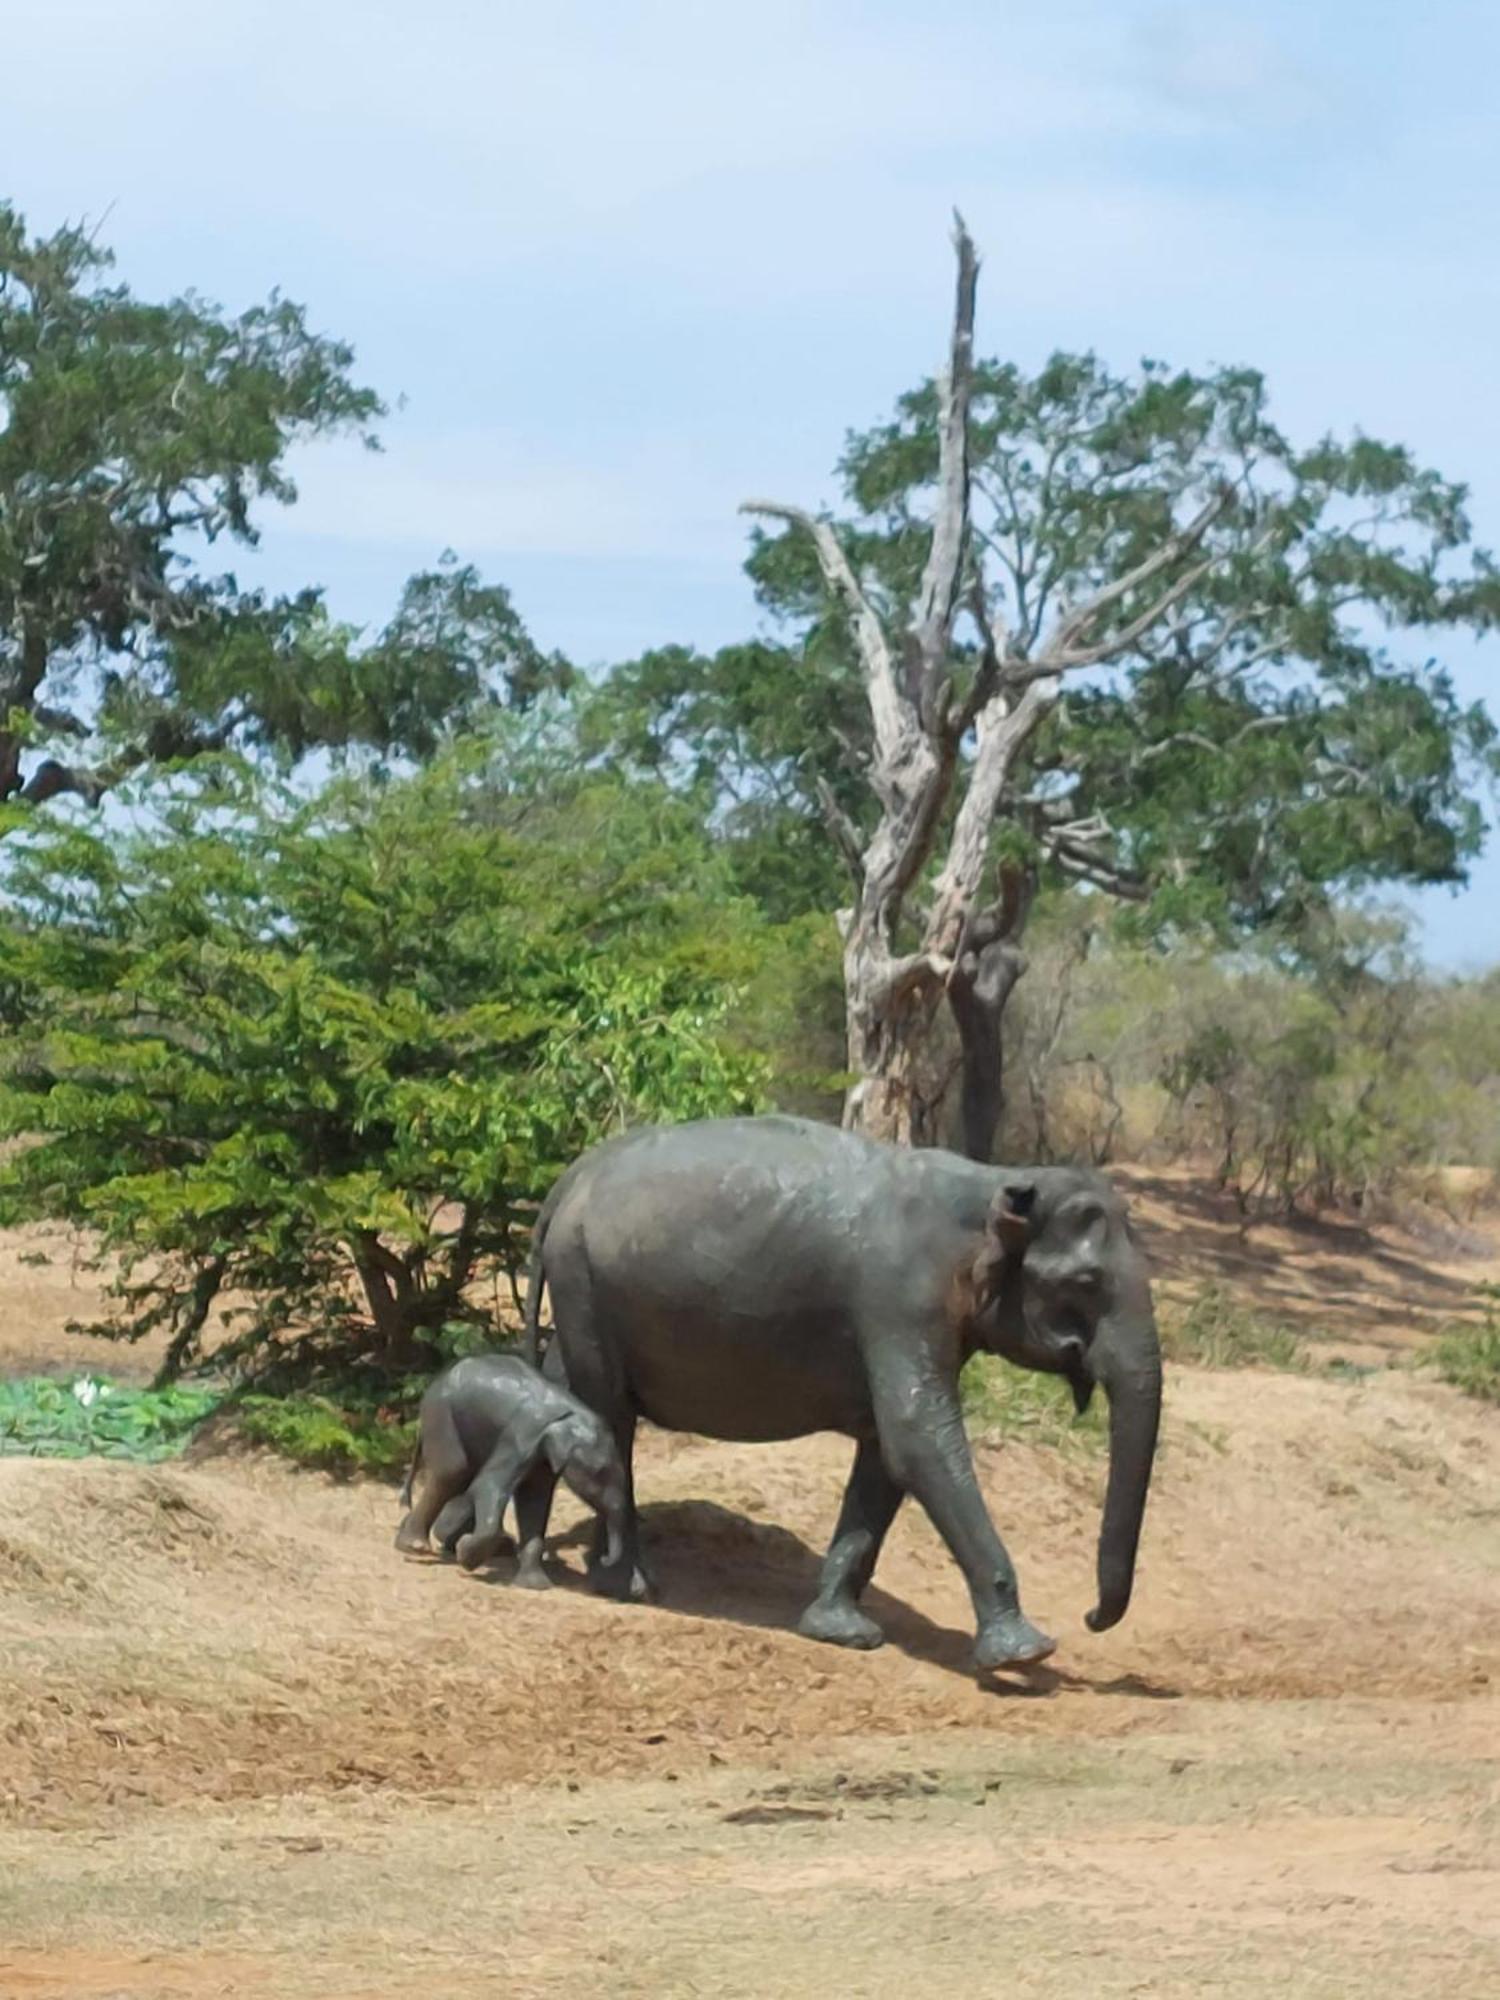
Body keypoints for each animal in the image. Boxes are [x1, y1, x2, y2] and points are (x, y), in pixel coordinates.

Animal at [394, 1352, 628, 1584]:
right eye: (599, 1473)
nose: (604, 1559)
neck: (572, 1417)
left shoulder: (542, 1457)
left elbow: (534, 1501)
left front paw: (535, 1585)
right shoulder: (521, 1436)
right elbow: (489, 1485)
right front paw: (465, 1557)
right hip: (442, 1416)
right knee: (452, 1473)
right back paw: (416, 1546)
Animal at [524, 1112, 1168, 1672]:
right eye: (1085, 1283)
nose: (1090, 1617)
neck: (992, 1183)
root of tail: (567, 1180)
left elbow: (886, 1454)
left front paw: (842, 1631)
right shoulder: (899, 1298)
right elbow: (917, 1439)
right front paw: (1025, 1653)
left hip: (583, 1289)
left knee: (566, 1392)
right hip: (584, 1281)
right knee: (609, 1411)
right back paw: (627, 1585)